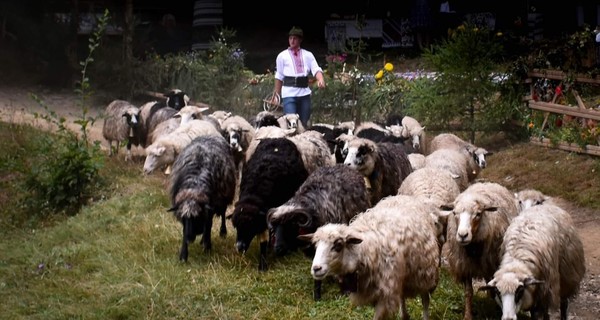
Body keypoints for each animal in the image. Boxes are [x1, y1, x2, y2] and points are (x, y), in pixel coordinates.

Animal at [169, 134, 237, 262]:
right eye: (184, 218)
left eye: (196, 217)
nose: (190, 239)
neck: (194, 185)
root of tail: (211, 135)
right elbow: (186, 230)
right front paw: (183, 255)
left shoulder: (211, 206)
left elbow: (208, 225)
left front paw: (207, 247)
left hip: (224, 197)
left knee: (222, 214)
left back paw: (222, 232)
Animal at [300, 204, 440, 320]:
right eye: (315, 245)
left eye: (338, 245)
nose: (316, 268)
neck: (364, 251)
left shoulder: (385, 294)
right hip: (402, 276)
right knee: (402, 296)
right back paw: (404, 315)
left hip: (424, 272)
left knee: (425, 300)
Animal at [442, 181, 524, 320]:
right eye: (454, 213)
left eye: (478, 214)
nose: (463, 235)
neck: (473, 248)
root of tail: (486, 183)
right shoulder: (465, 266)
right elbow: (468, 292)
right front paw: (468, 315)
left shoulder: (492, 264)